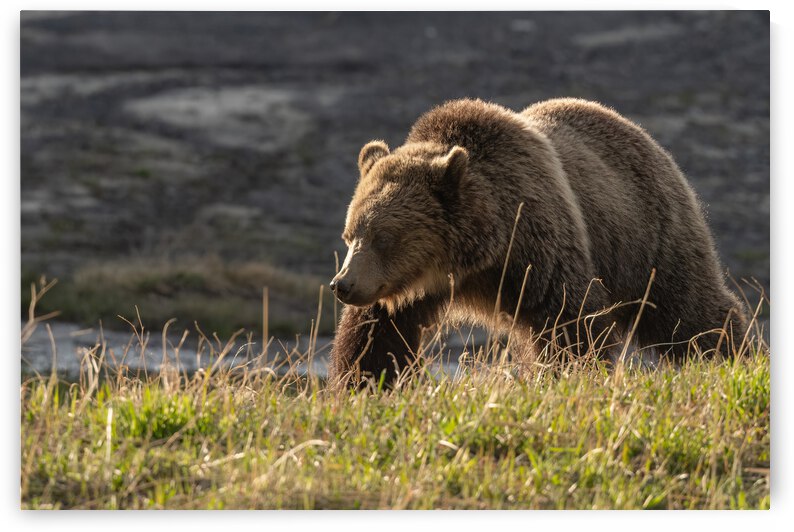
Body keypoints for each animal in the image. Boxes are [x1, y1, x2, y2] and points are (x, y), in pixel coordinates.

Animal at [329, 98, 748, 388]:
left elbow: (569, 320)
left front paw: (570, 375)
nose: (342, 285)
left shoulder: (537, 246)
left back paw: (732, 354)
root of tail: (641, 133)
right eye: (349, 235)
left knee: (686, 308)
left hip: (649, 236)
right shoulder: (401, 291)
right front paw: (362, 385)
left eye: (384, 237)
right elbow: (373, 338)